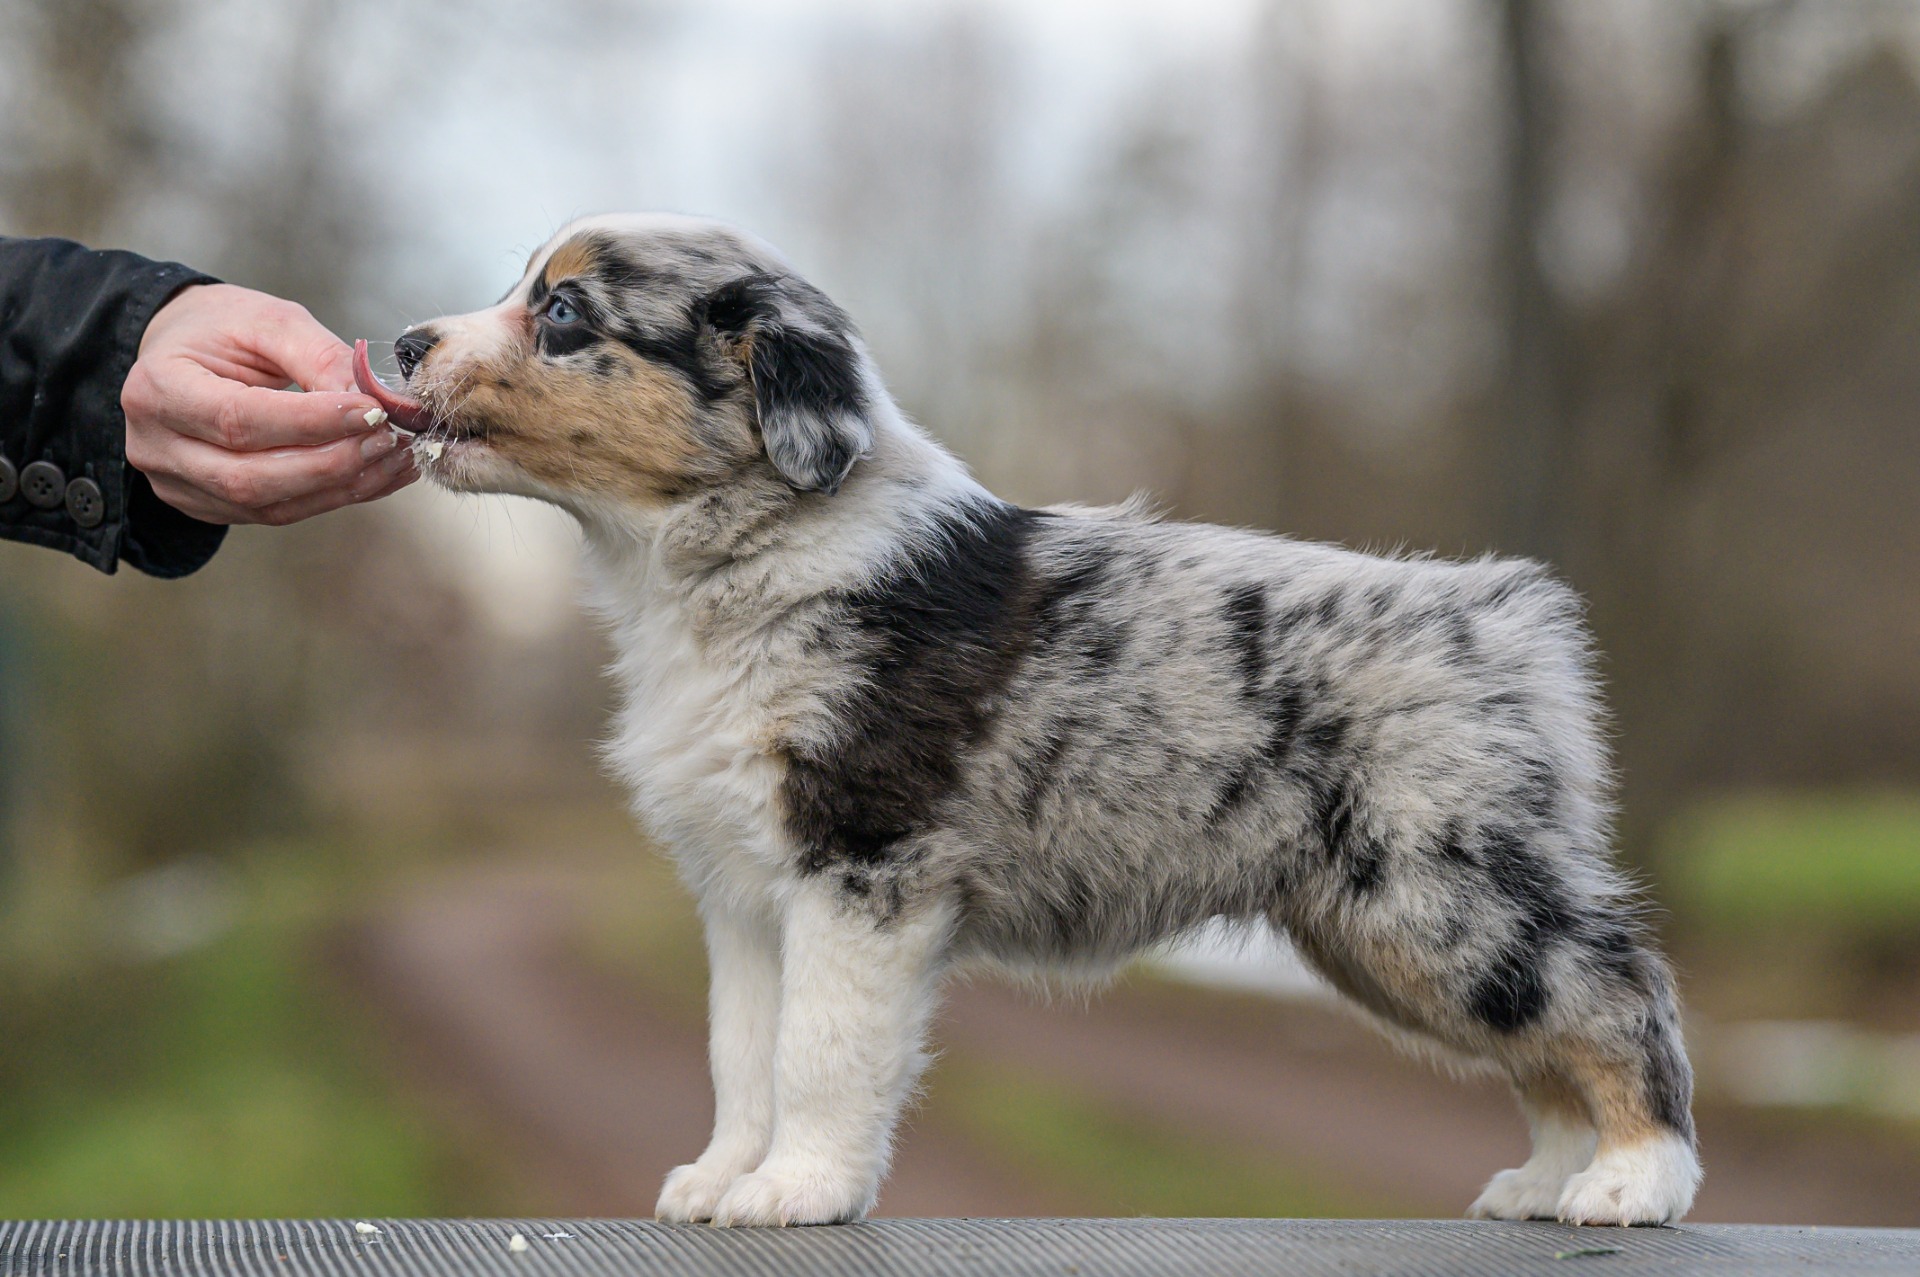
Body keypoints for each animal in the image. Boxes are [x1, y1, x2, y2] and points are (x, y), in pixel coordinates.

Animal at [366, 211, 1704, 1228]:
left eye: (564, 312)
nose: (402, 341)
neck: (730, 554)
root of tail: (1502, 612)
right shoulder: (744, 894)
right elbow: (743, 1053)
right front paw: (722, 1175)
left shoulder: (861, 867)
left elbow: (819, 1050)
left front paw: (798, 1187)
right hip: (1380, 930)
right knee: (1543, 1038)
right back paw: (1547, 1178)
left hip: (1438, 893)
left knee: (1616, 988)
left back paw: (1635, 1179)